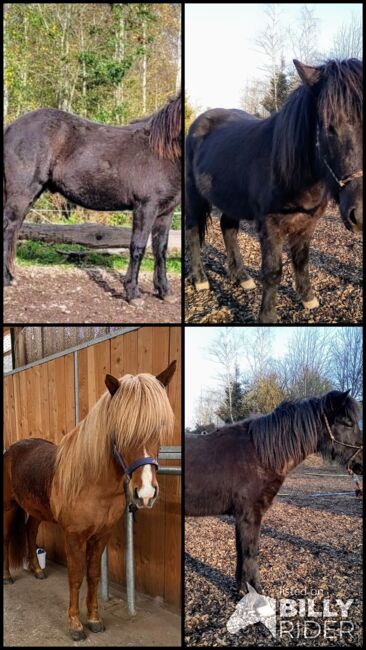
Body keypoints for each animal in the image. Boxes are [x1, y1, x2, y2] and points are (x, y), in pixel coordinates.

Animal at [3, 360, 176, 636]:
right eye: (120, 430)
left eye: (159, 426)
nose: (146, 493)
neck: (91, 483)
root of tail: (11, 450)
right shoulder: (74, 536)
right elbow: (76, 576)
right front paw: (75, 624)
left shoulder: (101, 534)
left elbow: (93, 575)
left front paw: (94, 619)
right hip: (9, 507)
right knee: (7, 537)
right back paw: (8, 576)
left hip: (36, 510)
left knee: (30, 532)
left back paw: (38, 570)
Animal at [4, 93, 182, 304]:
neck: (162, 151)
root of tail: (11, 128)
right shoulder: (145, 207)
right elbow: (138, 246)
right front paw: (133, 293)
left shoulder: (166, 212)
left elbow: (161, 249)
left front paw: (164, 291)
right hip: (21, 194)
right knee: (8, 228)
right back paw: (6, 279)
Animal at [186, 59, 364, 320]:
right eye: (329, 127)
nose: (360, 214)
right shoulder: (270, 227)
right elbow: (273, 272)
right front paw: (267, 316)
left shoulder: (307, 224)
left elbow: (301, 261)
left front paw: (308, 299)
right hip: (194, 196)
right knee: (192, 231)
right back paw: (200, 279)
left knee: (228, 228)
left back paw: (242, 277)